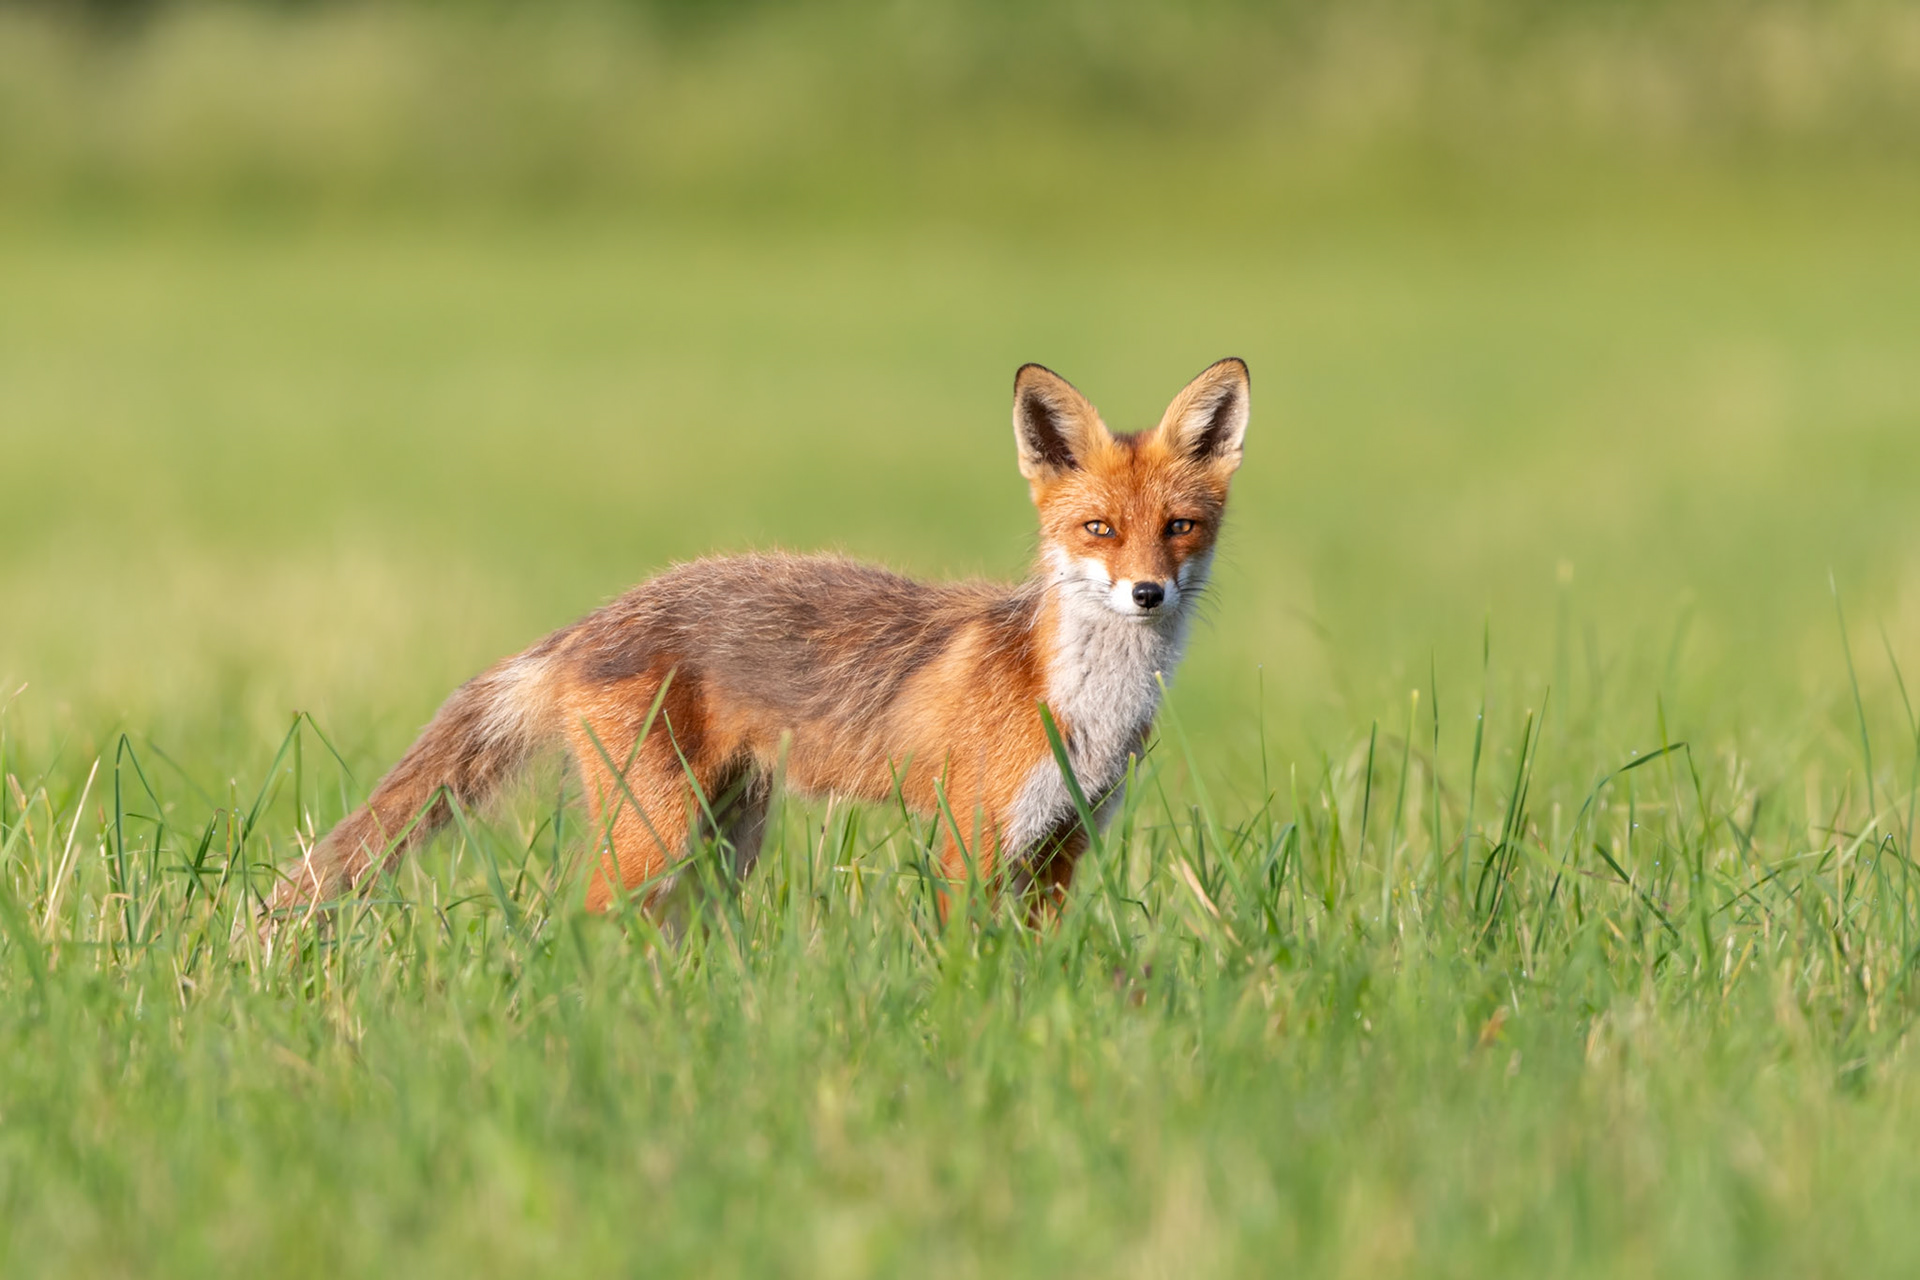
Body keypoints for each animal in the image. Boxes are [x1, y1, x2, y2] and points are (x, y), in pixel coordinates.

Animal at [270, 358, 1250, 923]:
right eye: (1097, 530)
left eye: (1179, 527)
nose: (1147, 593)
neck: (1080, 705)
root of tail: (599, 616)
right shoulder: (969, 840)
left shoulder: (1062, 845)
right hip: (655, 837)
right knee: (580, 924)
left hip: (724, 842)